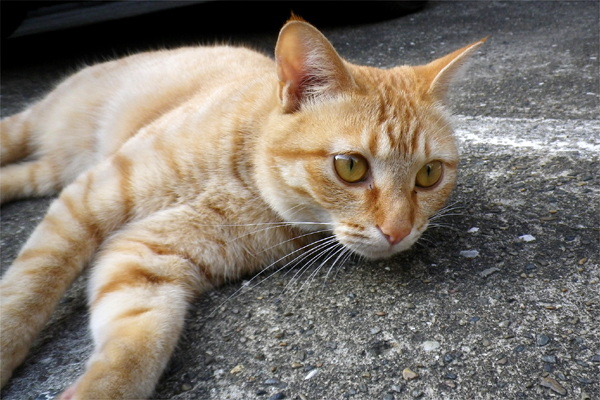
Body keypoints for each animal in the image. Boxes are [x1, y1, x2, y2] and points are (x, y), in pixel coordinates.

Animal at [0, 16, 482, 400]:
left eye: (429, 174)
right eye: (350, 166)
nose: (399, 231)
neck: (243, 177)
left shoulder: (150, 257)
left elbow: (137, 346)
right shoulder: (88, 199)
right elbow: (30, 287)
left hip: (50, 171)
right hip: (37, 131)